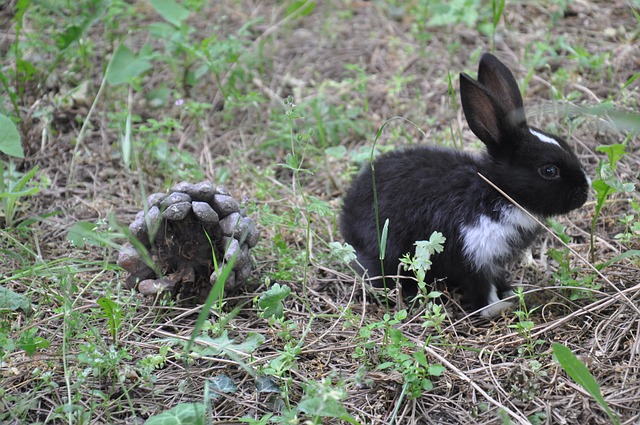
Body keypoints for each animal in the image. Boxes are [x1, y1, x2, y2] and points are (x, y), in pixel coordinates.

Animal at [340, 53, 592, 316]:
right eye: (549, 171)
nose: (585, 190)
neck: (496, 193)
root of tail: (346, 214)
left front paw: (510, 292)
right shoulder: (473, 254)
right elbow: (482, 290)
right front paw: (499, 307)